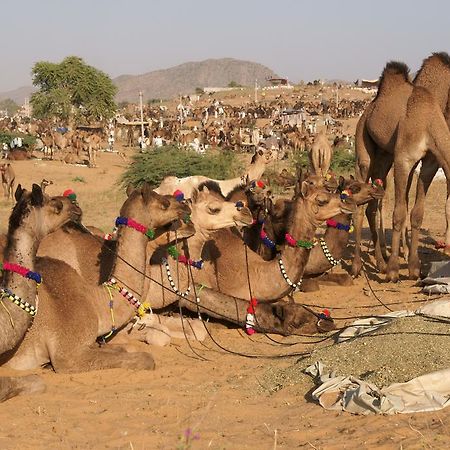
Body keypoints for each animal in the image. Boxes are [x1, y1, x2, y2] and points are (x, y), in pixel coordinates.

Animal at [6, 185, 191, 372]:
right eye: (165, 203)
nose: (186, 207)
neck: (95, 302)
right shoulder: (68, 354)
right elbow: (146, 359)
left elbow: (122, 348)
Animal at [352, 58, 450, 282]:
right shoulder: (404, 159)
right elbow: (398, 214)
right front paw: (394, 270)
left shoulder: (430, 164)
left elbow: (417, 213)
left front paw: (414, 268)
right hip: (363, 146)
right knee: (359, 205)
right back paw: (357, 267)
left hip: (384, 156)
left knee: (372, 205)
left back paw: (380, 263)